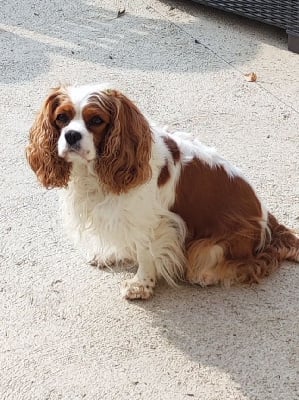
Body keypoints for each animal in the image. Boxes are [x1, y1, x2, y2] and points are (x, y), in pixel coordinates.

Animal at [27, 83, 298, 298]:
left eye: (96, 121)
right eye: (61, 118)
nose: (71, 135)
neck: (96, 172)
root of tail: (268, 219)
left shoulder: (153, 222)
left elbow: (145, 253)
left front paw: (141, 285)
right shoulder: (121, 216)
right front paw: (111, 254)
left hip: (214, 245)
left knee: (247, 264)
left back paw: (207, 275)